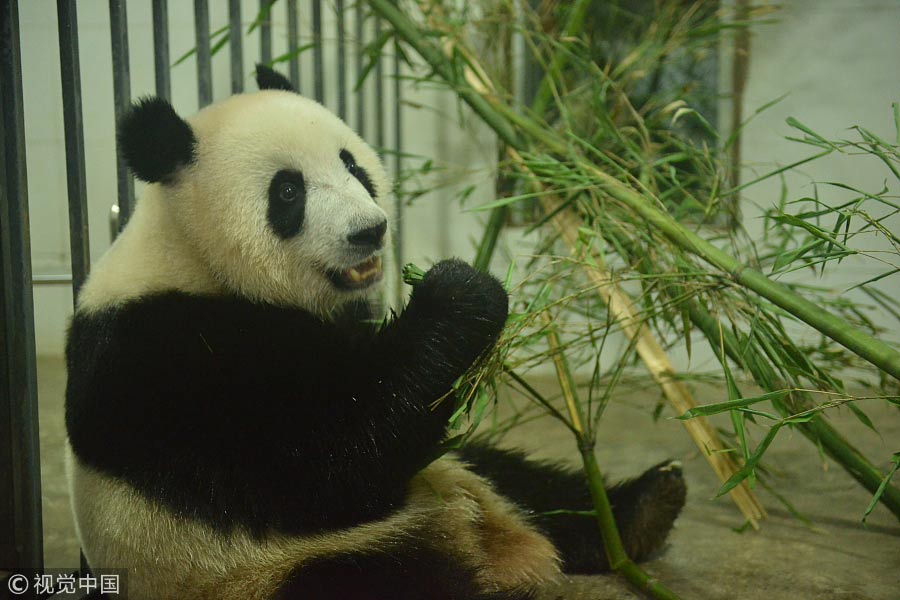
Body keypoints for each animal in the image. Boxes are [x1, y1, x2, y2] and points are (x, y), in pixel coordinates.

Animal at [64, 65, 686, 600]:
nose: (370, 231)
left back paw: (643, 509)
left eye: (352, 165)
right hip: (270, 570)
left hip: (451, 468)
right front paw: (461, 291)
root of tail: (493, 543)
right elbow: (327, 464)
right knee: (384, 580)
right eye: (287, 192)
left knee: (513, 474)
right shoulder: (166, 355)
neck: (190, 255)